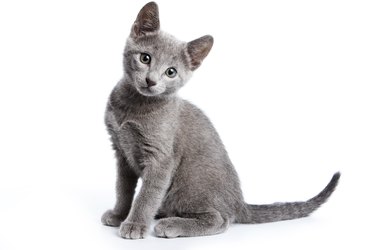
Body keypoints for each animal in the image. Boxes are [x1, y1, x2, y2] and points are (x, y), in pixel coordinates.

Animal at [101, 1, 342, 239]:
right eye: (145, 58)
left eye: (171, 72)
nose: (151, 81)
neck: (133, 107)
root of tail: (240, 203)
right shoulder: (121, 152)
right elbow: (123, 188)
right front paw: (119, 214)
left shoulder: (160, 158)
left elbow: (147, 195)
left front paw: (135, 224)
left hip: (190, 183)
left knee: (220, 219)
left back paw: (171, 224)